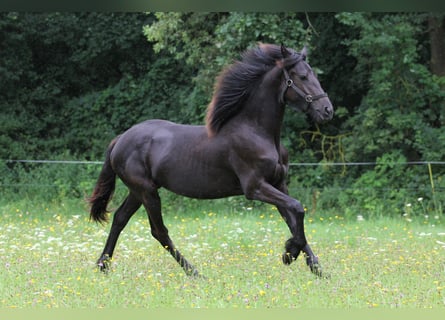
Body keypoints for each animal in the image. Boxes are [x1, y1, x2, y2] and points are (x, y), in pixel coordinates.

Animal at [88, 43, 332, 276]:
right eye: (302, 76)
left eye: (314, 75)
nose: (327, 110)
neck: (257, 131)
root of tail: (120, 140)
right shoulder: (255, 187)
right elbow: (298, 208)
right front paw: (289, 254)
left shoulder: (279, 184)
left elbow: (293, 219)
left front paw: (317, 269)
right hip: (147, 191)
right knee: (159, 231)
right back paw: (194, 272)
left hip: (138, 191)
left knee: (120, 218)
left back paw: (103, 266)